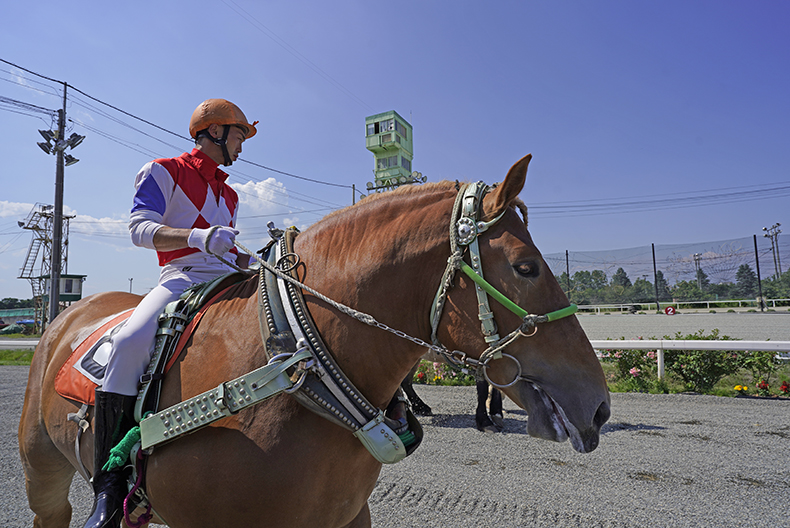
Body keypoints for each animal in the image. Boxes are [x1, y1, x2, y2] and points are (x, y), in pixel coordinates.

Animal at [18, 154, 612, 528]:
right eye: (526, 266)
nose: (599, 407)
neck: (295, 364)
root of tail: (68, 314)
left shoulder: (348, 515)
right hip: (44, 477)